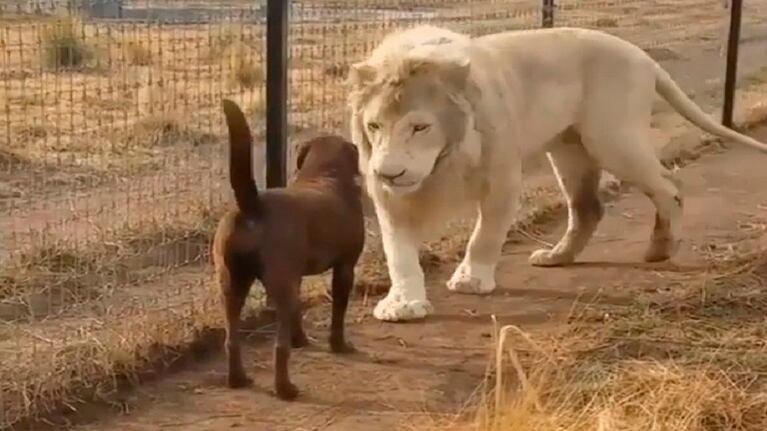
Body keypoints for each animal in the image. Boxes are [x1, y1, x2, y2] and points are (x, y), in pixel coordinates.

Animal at [212, 100, 364, 402]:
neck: (325, 174)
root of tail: (253, 205)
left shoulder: (298, 277)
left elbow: (298, 314)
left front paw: (301, 340)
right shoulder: (345, 268)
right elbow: (338, 311)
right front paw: (339, 345)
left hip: (232, 284)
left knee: (231, 338)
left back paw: (238, 379)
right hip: (280, 287)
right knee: (278, 348)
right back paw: (285, 388)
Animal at [348, 23, 767, 320]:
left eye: (420, 127)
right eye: (374, 126)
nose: (389, 172)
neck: (443, 160)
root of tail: (643, 56)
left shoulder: (502, 178)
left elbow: (484, 236)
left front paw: (471, 280)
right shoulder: (389, 198)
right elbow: (398, 251)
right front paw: (402, 304)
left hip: (612, 138)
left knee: (669, 184)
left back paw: (660, 249)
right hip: (569, 150)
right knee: (588, 208)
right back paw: (557, 256)